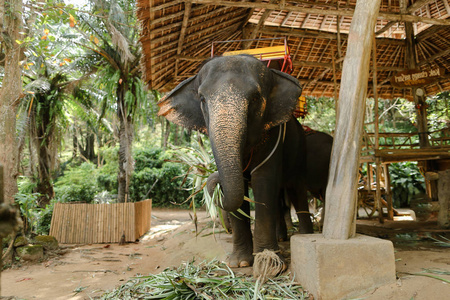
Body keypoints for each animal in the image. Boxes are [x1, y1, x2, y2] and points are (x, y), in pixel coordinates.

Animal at [158, 54, 312, 268]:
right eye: (202, 99)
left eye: (255, 98)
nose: (213, 177)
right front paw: (240, 263)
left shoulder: (272, 136)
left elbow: (263, 180)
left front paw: (268, 260)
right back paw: (282, 238)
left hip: (300, 152)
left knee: (296, 190)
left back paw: (304, 236)